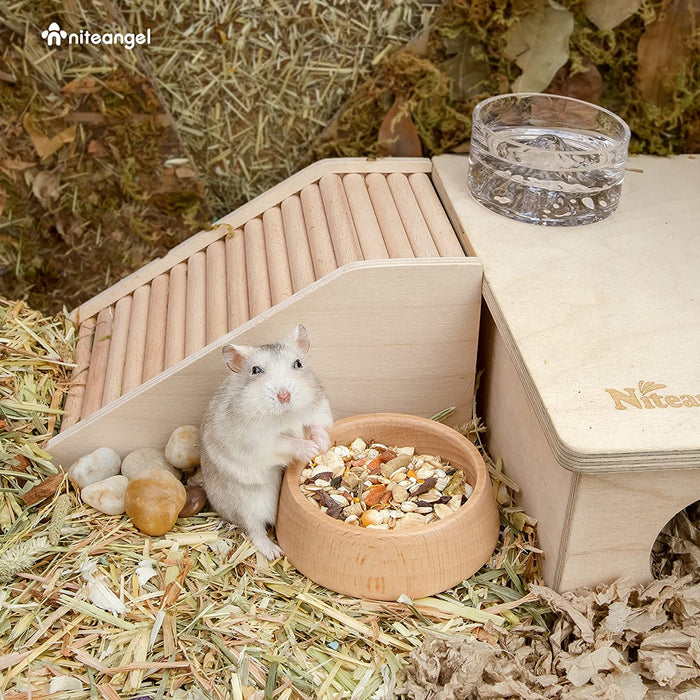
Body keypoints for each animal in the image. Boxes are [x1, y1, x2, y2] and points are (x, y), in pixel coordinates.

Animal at [200, 326, 334, 560]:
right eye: (256, 370)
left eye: (298, 363)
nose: (284, 396)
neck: (285, 415)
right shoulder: (260, 442)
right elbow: (286, 441)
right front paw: (310, 449)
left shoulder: (316, 412)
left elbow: (314, 427)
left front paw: (322, 445)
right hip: (248, 504)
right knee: (254, 530)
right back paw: (274, 552)